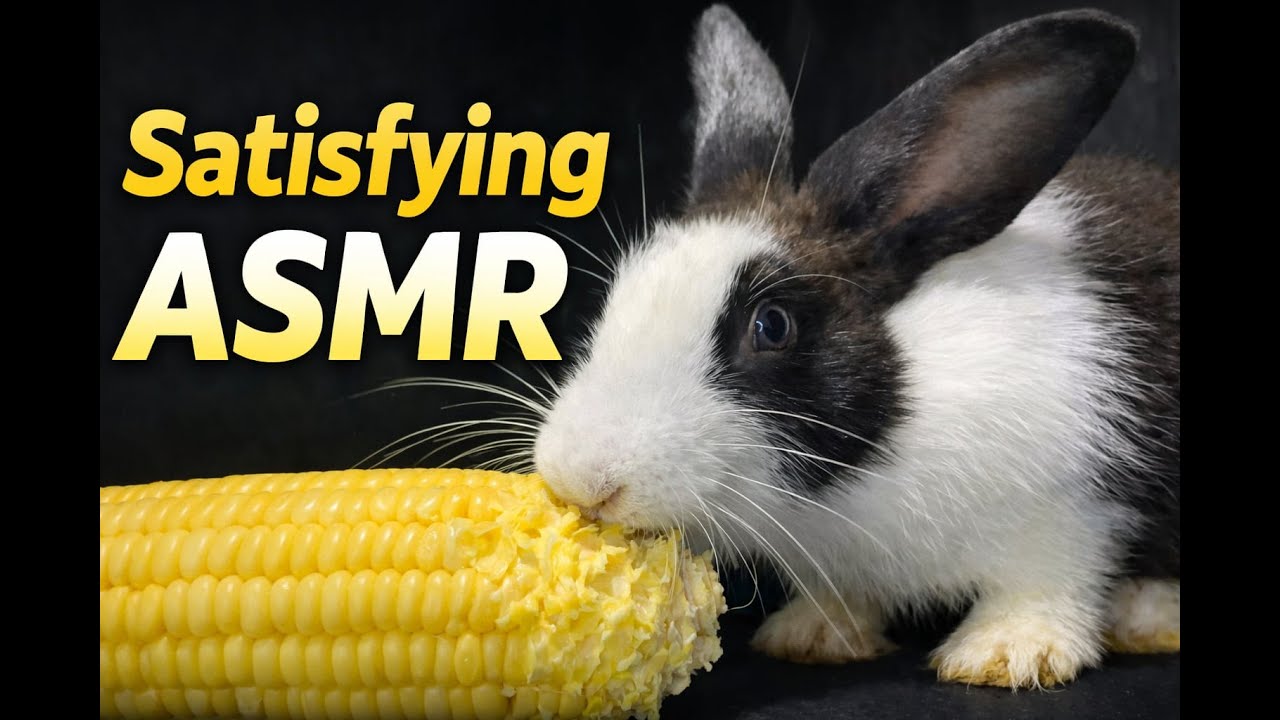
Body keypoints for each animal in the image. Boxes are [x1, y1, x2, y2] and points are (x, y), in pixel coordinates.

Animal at [532, 4, 1179, 690]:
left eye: (772, 326)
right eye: (621, 293)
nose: (583, 480)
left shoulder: (1070, 511)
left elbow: (1048, 583)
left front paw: (1006, 655)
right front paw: (811, 638)